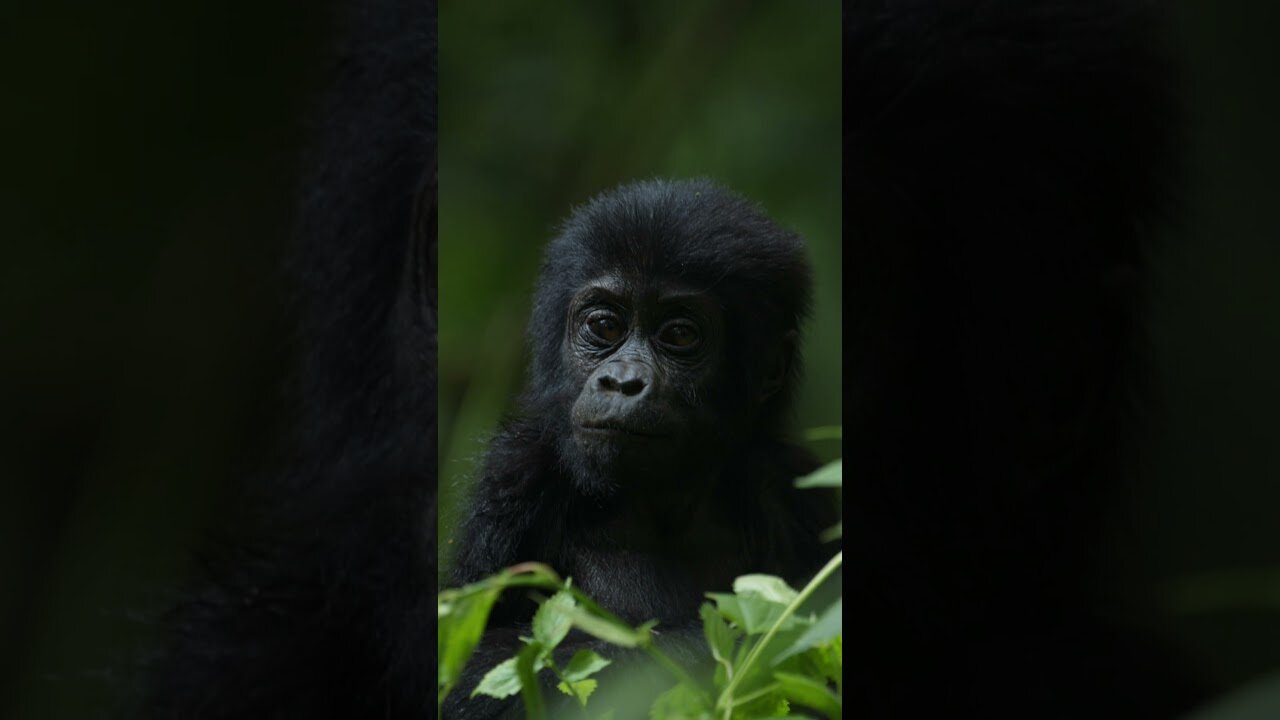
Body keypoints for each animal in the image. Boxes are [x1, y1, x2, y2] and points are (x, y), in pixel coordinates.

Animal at [445, 176, 834, 712]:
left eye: (680, 334)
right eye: (605, 326)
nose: (623, 382)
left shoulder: (796, 488)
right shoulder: (511, 482)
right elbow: (470, 670)